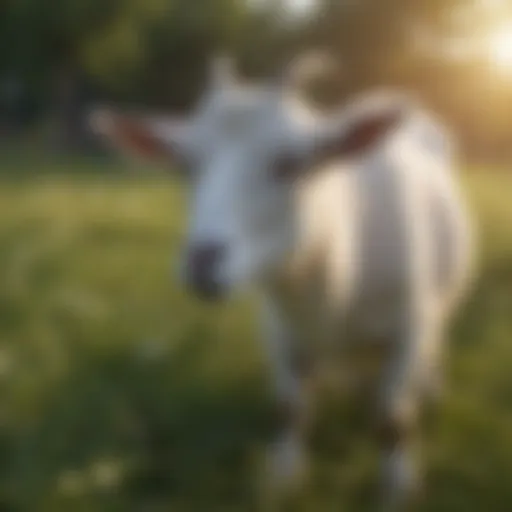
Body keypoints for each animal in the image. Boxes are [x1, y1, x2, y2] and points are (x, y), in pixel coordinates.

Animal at [89, 54, 476, 510]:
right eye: (185, 166)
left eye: (291, 163)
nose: (201, 264)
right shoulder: (281, 330)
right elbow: (289, 408)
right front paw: (282, 480)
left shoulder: (408, 327)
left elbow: (391, 417)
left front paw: (397, 489)